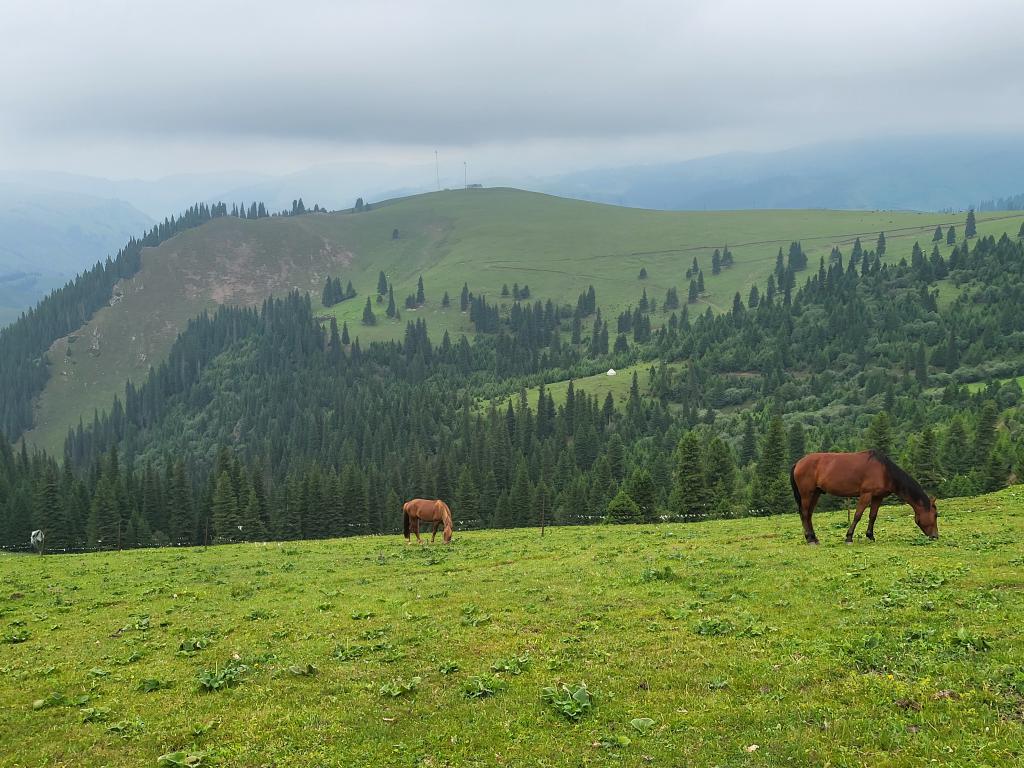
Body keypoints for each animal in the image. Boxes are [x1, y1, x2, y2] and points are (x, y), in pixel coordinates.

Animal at [786, 450, 937, 548]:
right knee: (805, 514)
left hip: (816, 493)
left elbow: (873, 516)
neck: (884, 471)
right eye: (936, 515)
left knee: (809, 515)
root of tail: (798, 463)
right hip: (807, 493)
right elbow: (857, 515)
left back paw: (815, 539)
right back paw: (810, 540)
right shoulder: (866, 494)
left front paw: (870, 536)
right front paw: (849, 538)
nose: (935, 536)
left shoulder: (877, 497)